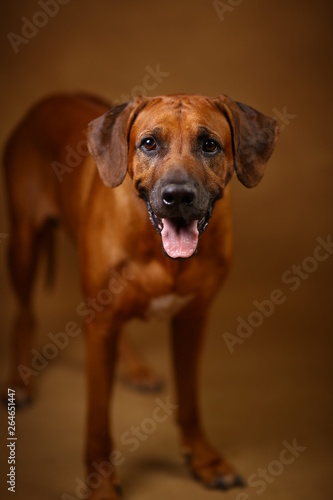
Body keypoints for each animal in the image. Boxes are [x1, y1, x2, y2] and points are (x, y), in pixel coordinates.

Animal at [2, 92, 278, 498]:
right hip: (23, 242)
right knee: (23, 315)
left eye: (209, 144)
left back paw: (135, 368)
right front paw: (101, 484)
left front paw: (204, 460)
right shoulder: (100, 326)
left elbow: (190, 401)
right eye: (149, 143)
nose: (177, 196)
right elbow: (98, 420)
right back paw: (20, 383)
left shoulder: (192, 319)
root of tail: (48, 100)